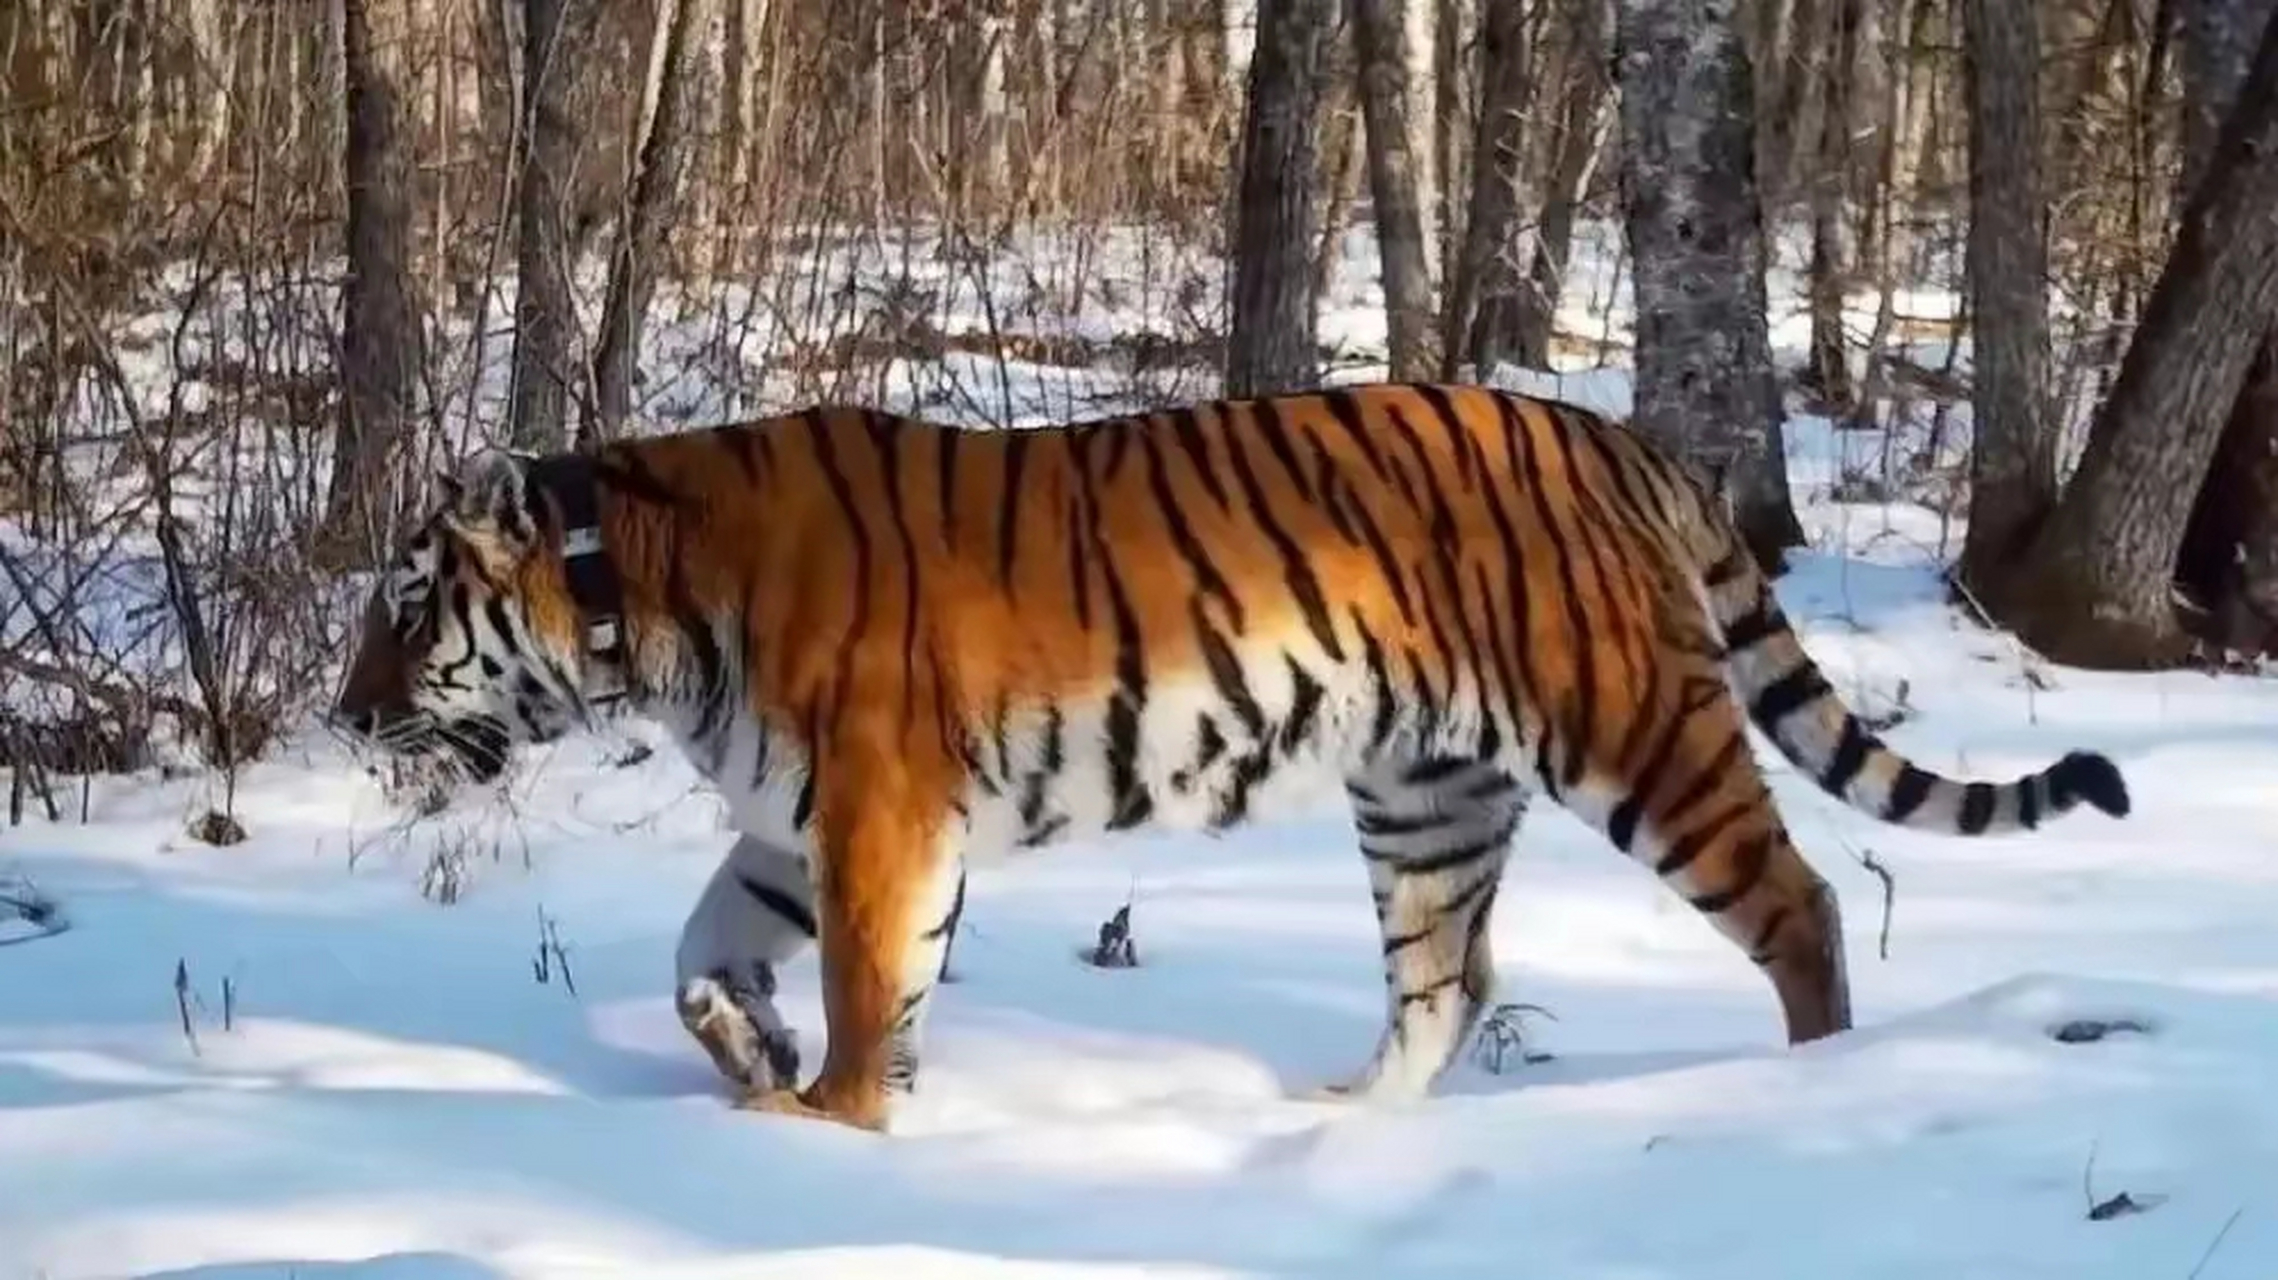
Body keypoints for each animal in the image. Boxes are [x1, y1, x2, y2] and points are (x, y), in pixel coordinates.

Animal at [331, 381, 2131, 1132]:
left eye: (407, 611)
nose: (343, 718)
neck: (626, 589)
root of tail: (1612, 429)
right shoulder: (791, 815)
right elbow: (706, 952)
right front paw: (748, 1055)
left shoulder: (872, 806)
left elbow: (862, 979)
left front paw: (824, 1124)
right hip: (1424, 795)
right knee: (1446, 980)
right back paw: (1344, 1125)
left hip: (1634, 732)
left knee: (1797, 908)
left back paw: (1812, 1087)